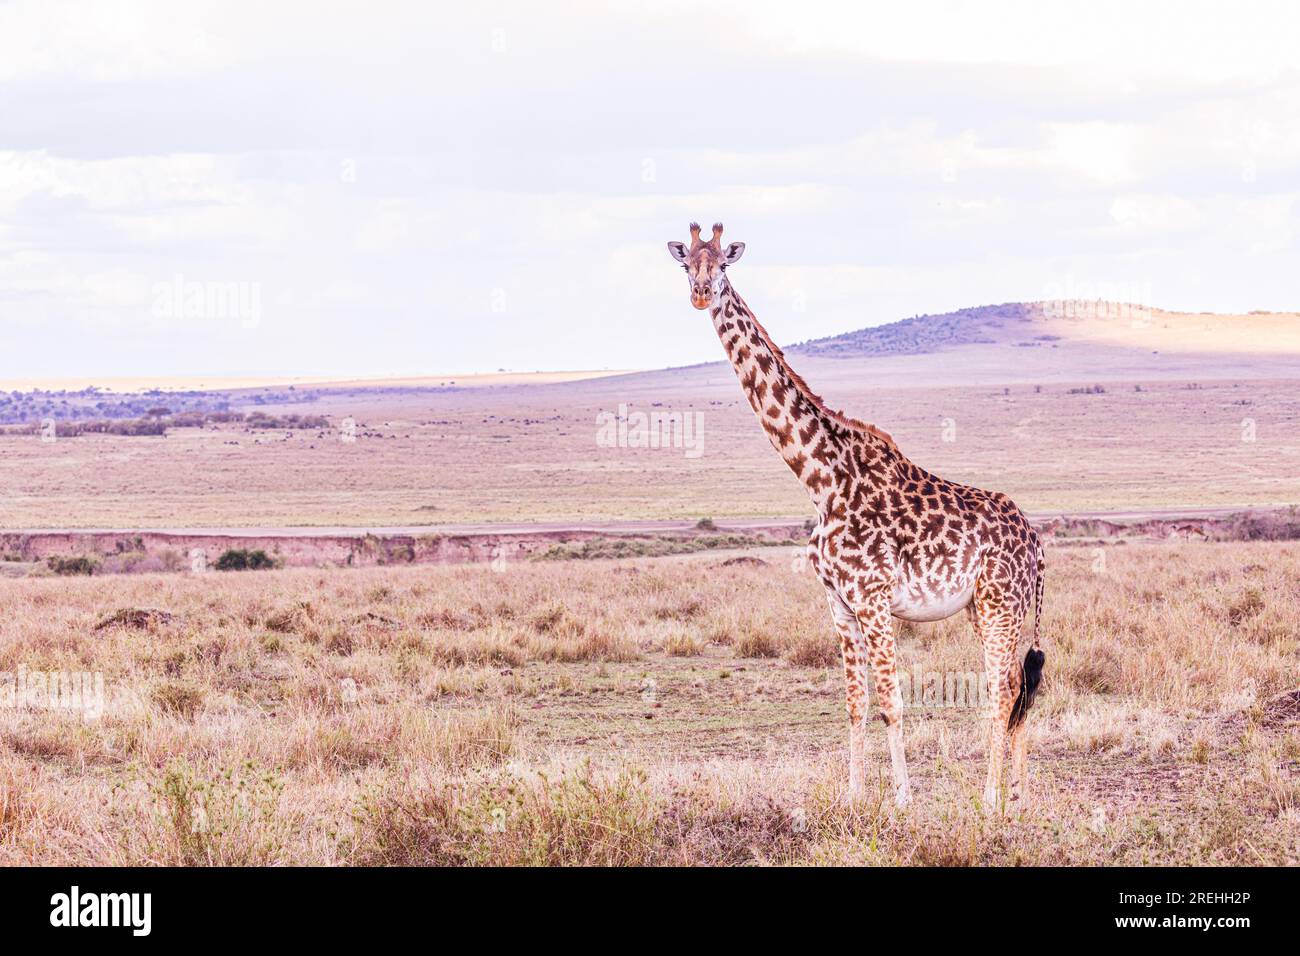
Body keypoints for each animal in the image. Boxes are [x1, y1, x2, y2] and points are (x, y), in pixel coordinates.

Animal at [670, 222, 1045, 806]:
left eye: (724, 266)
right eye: (687, 264)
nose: (701, 293)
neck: (819, 479)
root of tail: (1037, 541)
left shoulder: (873, 601)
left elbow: (892, 701)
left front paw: (903, 800)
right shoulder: (840, 606)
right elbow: (855, 704)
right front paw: (853, 796)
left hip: (1001, 603)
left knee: (1004, 690)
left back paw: (990, 799)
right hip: (988, 607)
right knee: (1017, 687)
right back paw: (1019, 797)